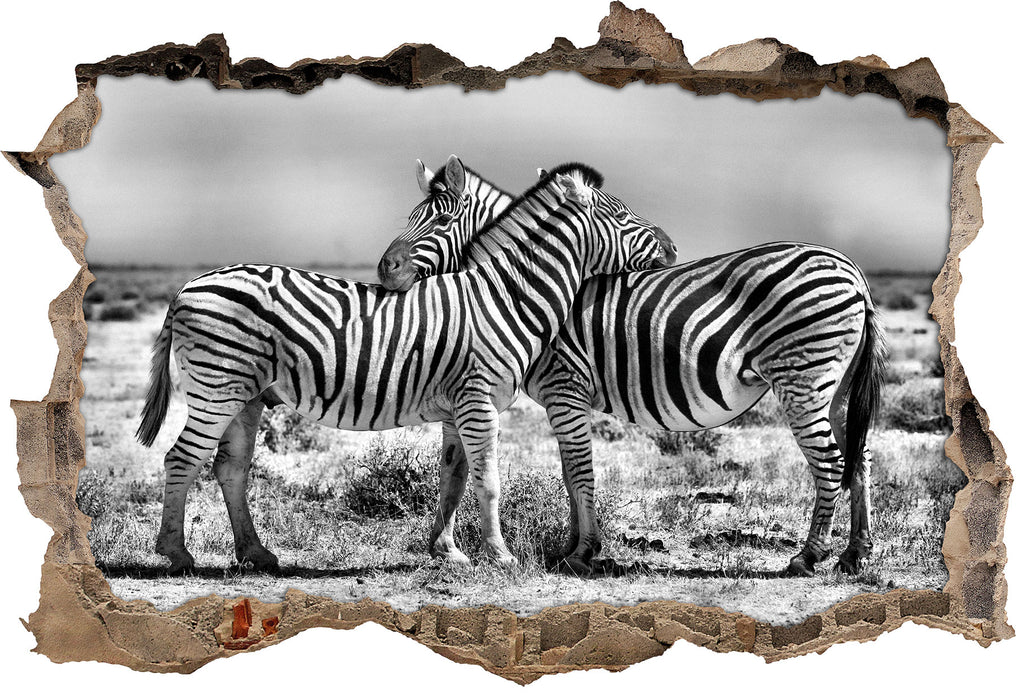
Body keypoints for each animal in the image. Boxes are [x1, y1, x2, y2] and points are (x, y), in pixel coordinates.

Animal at [136, 162, 672, 574]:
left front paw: (449, 553)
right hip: (217, 385)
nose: (671, 248)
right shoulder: (478, 401)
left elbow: (454, 478)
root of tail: (186, 288)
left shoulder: (459, 407)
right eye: (622, 214)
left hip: (245, 394)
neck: (506, 296)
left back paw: (257, 553)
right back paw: (176, 554)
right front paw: (500, 556)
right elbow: (489, 480)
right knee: (181, 458)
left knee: (230, 467)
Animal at [377, 157, 889, 577]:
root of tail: (854, 272)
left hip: (802, 378)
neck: (520, 286)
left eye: (440, 220)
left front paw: (584, 552)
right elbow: (569, 473)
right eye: (410, 218)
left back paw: (809, 556)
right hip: (835, 386)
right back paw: (854, 555)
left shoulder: (565, 387)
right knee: (859, 456)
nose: (385, 269)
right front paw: (571, 548)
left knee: (831, 462)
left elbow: (579, 470)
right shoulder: (565, 398)